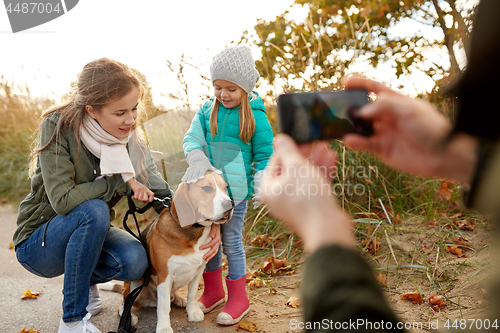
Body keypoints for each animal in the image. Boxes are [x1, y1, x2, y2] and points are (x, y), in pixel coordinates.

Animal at [120, 171, 233, 332]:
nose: (230, 204)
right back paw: (129, 316)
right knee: (125, 302)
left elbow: (192, 295)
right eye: (206, 188)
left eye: (226, 188)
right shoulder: (164, 276)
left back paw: (180, 299)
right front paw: (164, 327)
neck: (193, 233)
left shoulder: (198, 272)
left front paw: (192, 312)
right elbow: (164, 306)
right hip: (135, 283)